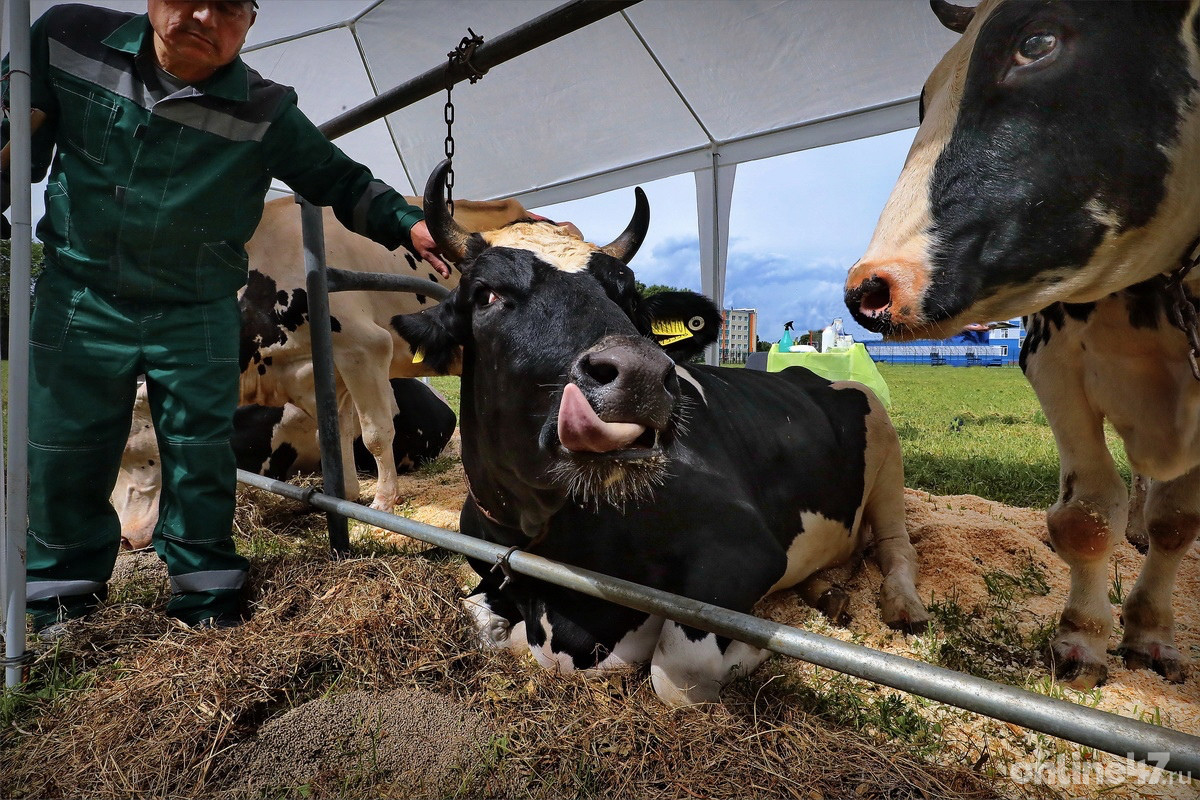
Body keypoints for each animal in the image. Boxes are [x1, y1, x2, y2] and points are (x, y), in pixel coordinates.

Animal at [396, 163, 926, 705]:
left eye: (630, 298)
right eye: (485, 294)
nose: (642, 376)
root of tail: (806, 374)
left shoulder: (744, 550)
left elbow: (677, 669)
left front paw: (756, 649)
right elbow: (478, 618)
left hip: (886, 453)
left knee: (896, 545)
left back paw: (902, 605)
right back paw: (828, 592)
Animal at [844, 0, 1200, 690]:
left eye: (1036, 42)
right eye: (922, 99)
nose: (870, 288)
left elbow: (1178, 520)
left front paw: (1150, 636)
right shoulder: (1053, 356)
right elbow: (1088, 514)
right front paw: (1083, 642)